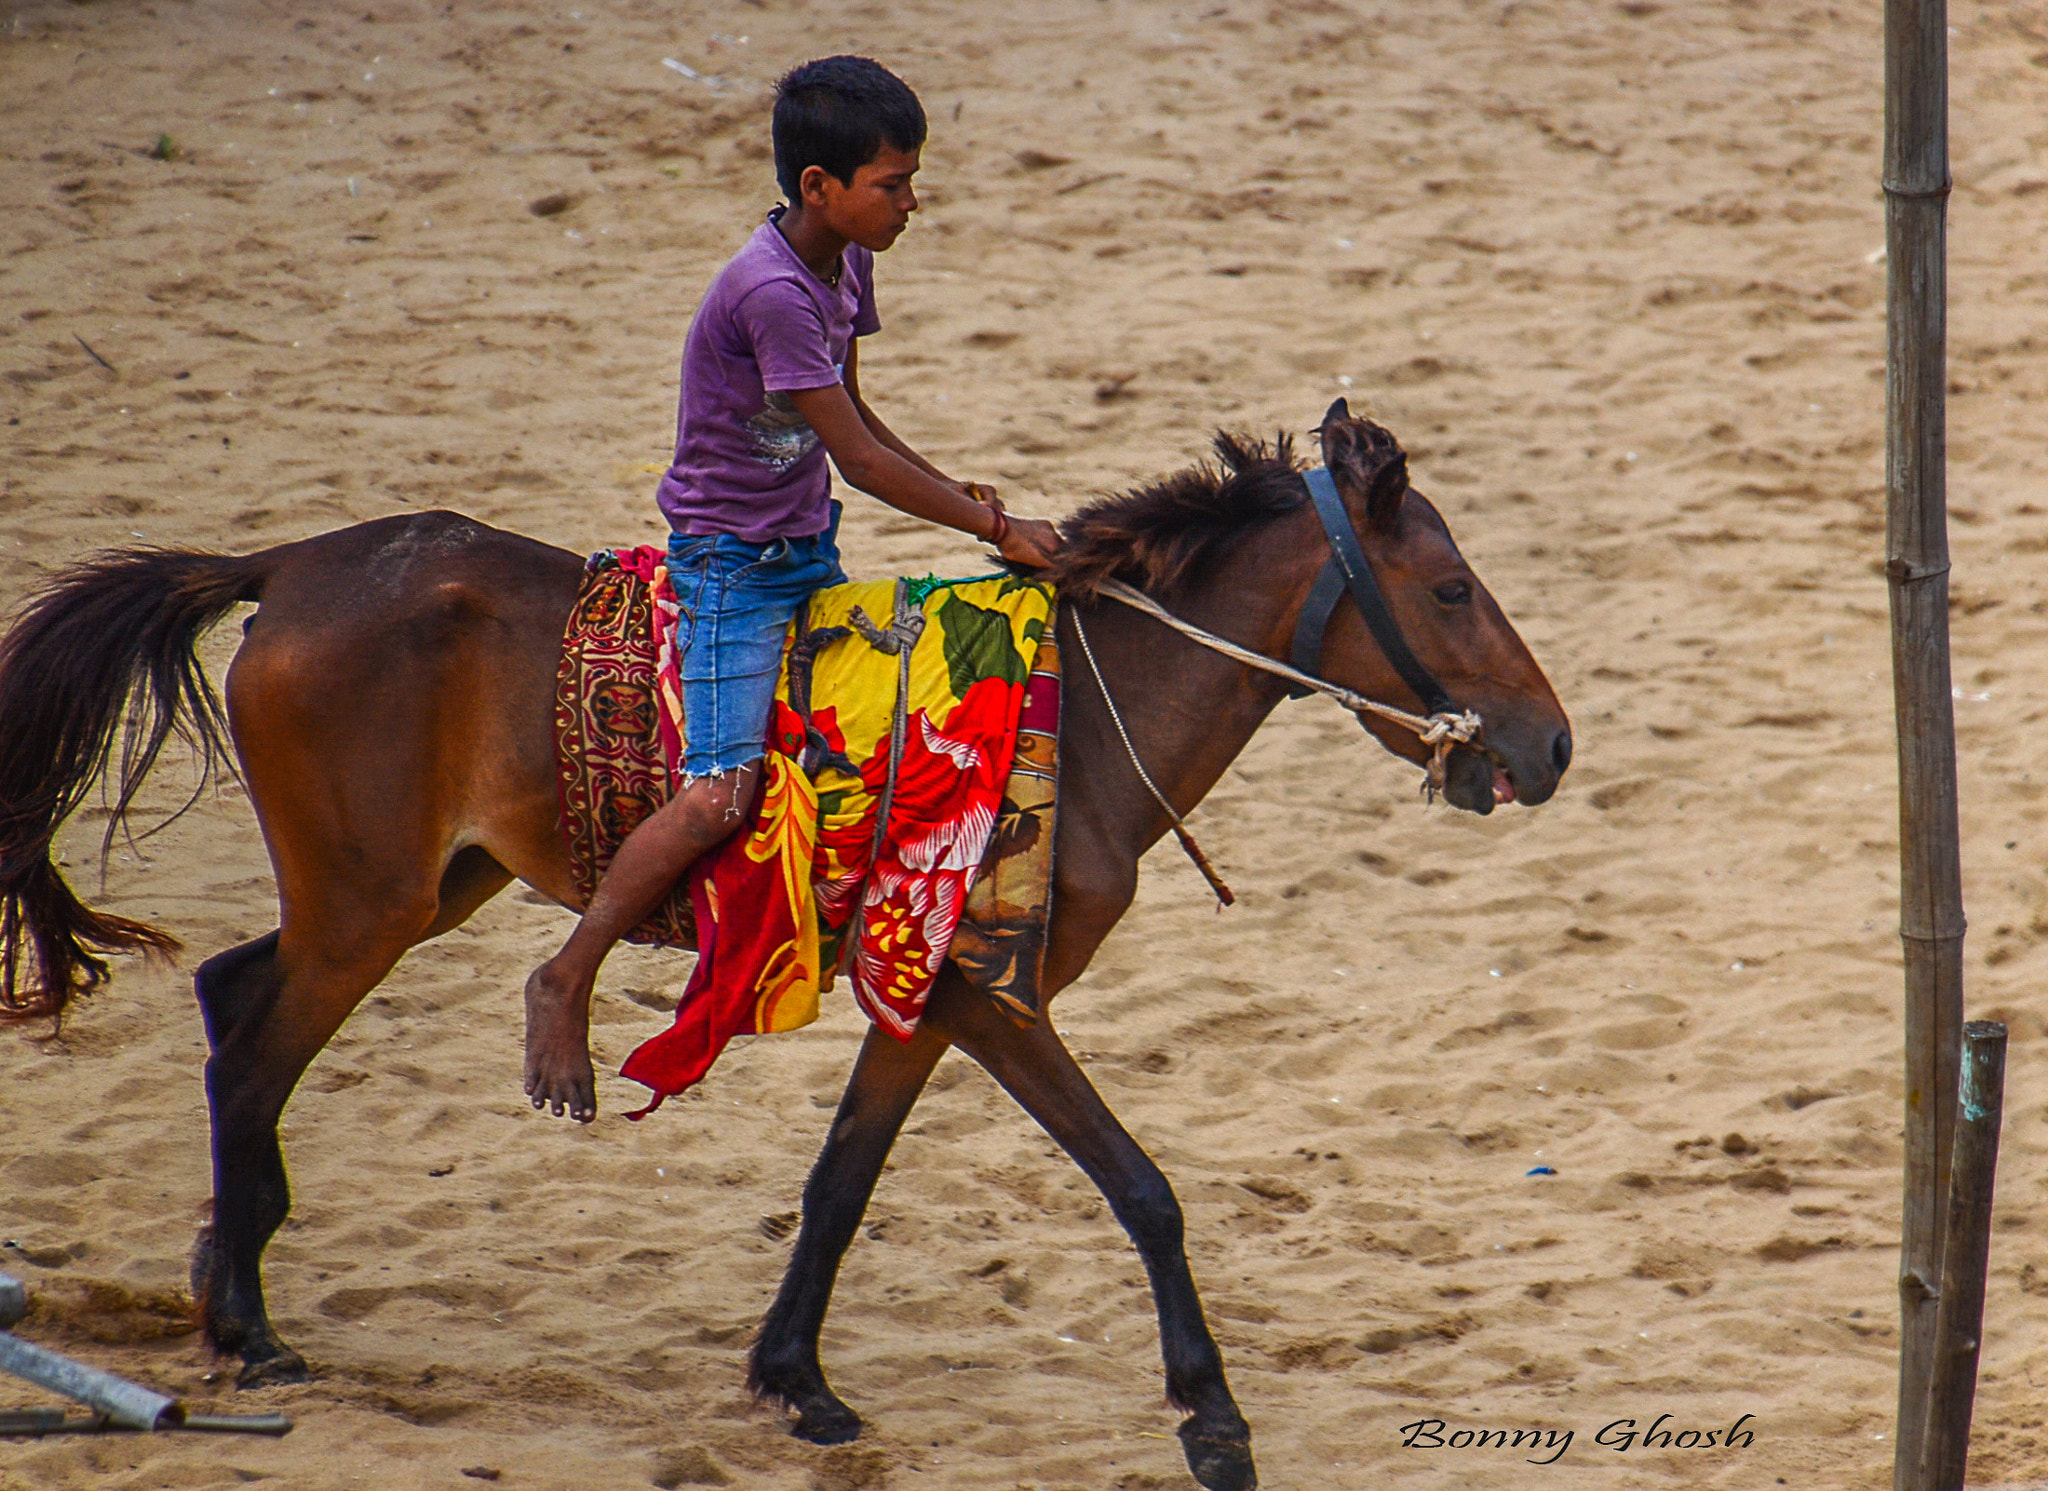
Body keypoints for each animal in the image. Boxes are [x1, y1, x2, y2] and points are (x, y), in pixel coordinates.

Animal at [0, 405, 1564, 1491]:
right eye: (1449, 592)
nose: (1550, 745)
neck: (1083, 705)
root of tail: (290, 564)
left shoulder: (932, 1000)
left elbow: (840, 1180)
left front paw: (792, 1377)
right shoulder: (994, 999)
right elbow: (1143, 1186)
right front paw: (1212, 1413)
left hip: (418, 887)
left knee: (231, 998)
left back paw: (230, 1276)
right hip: (367, 905)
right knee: (254, 1053)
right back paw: (248, 1322)